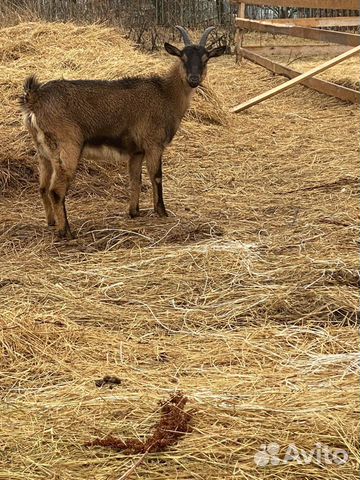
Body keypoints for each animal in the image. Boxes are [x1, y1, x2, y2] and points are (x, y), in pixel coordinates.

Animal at [20, 25, 225, 239]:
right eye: (182, 57)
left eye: (206, 58)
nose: (194, 79)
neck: (165, 94)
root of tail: (34, 98)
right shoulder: (153, 144)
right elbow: (156, 176)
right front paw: (162, 212)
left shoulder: (136, 151)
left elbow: (135, 179)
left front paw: (134, 212)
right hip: (67, 148)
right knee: (56, 191)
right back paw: (66, 231)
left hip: (44, 152)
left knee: (43, 188)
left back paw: (51, 223)